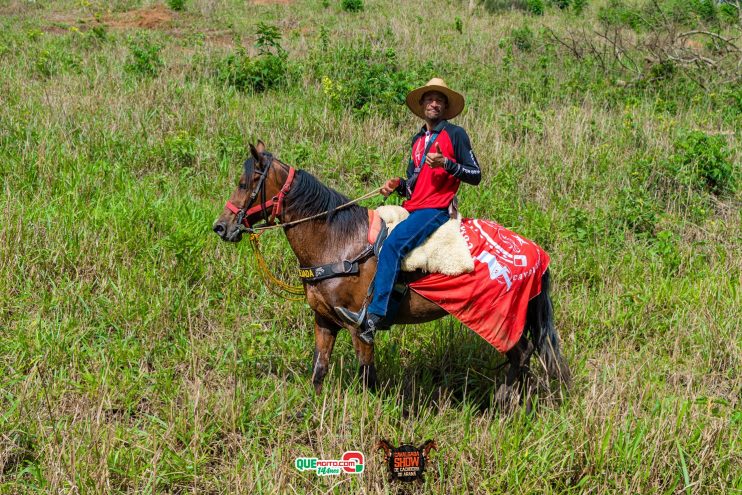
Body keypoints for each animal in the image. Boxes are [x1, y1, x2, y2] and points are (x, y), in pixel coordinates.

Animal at [212, 141, 572, 408]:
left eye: (244, 184)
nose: (221, 227)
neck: (337, 242)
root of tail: (537, 255)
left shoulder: (359, 327)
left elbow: (367, 376)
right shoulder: (324, 320)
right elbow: (319, 371)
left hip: (501, 321)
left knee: (521, 355)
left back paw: (503, 406)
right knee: (523, 357)